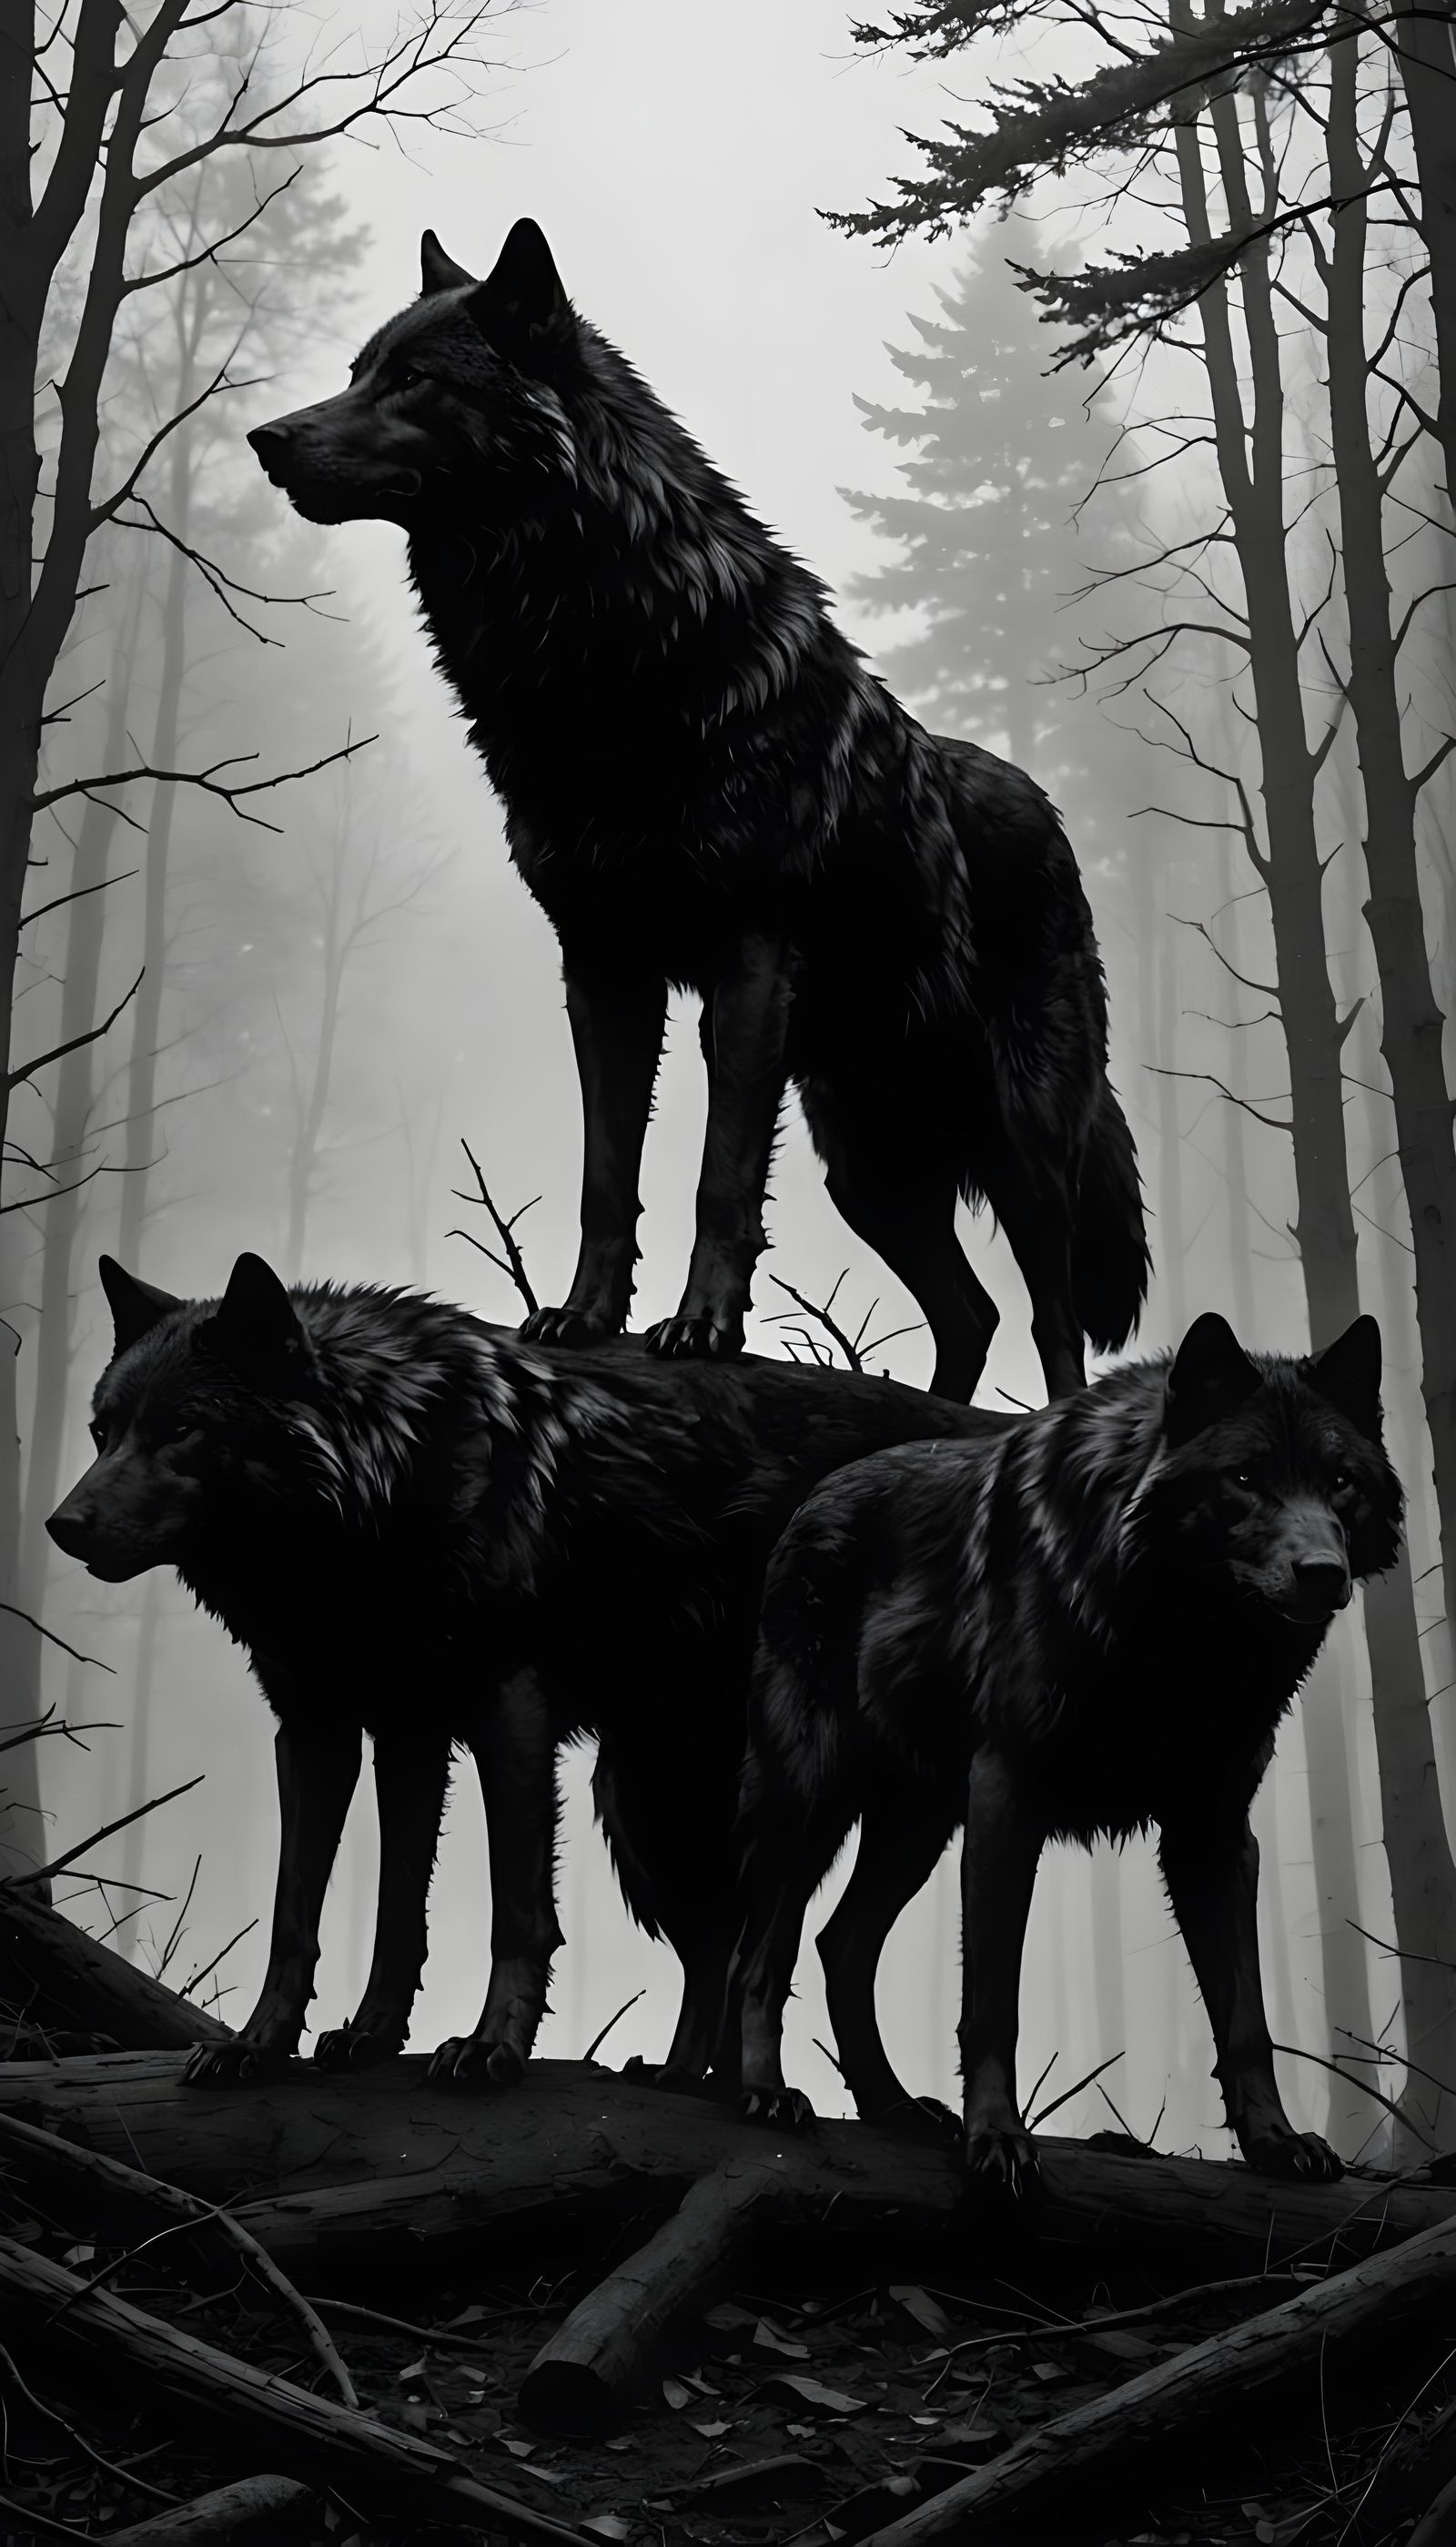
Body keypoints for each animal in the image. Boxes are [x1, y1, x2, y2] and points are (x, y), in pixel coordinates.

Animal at [46, 1252, 1008, 2089]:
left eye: (181, 1428)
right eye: (101, 1431)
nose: (63, 1525)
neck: (386, 1478)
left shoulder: (507, 1710)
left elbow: (517, 1910)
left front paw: (487, 2050)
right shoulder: (346, 1729)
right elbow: (333, 1911)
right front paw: (289, 2045)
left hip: (815, 1796)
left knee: (814, 1946)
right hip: (654, 1806)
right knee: (732, 1946)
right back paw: (693, 2084)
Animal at [246, 220, 1148, 1405]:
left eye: (413, 380)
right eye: (357, 370)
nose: (264, 439)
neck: (606, 656)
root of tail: (1053, 820)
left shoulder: (746, 965)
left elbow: (719, 1179)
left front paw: (703, 1328)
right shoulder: (601, 970)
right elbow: (606, 1172)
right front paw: (584, 1317)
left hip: (1021, 1147)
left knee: (1051, 1321)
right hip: (866, 1163)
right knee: (973, 1312)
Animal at [725, 1312, 1403, 2182]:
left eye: (1341, 1480)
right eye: (1246, 1477)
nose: (1322, 1572)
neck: (1184, 1642)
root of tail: (816, 1495)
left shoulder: (1214, 1832)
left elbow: (1246, 2018)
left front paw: (1275, 2142)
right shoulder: (1006, 1800)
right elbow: (992, 2002)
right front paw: (995, 2137)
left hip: (916, 1827)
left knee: (841, 1943)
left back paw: (893, 2108)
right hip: (810, 1800)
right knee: (761, 1953)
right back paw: (767, 2094)